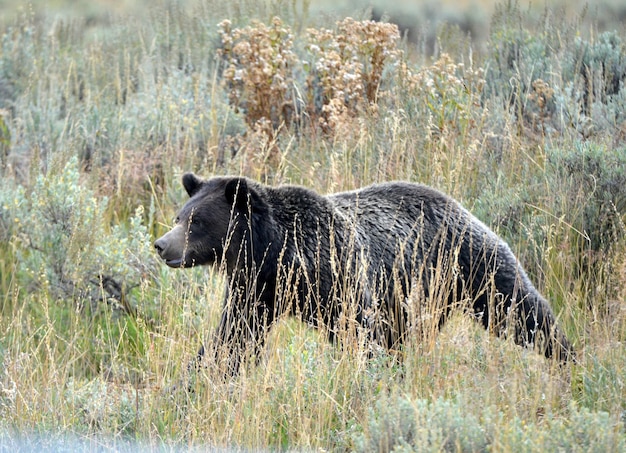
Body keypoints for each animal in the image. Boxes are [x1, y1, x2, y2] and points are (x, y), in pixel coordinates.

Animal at [154, 173, 572, 374]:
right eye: (179, 216)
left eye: (196, 221)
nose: (161, 245)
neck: (277, 253)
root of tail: (461, 206)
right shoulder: (257, 289)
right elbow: (232, 339)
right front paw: (195, 379)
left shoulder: (336, 273)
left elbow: (360, 330)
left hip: (470, 263)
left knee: (521, 310)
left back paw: (568, 357)